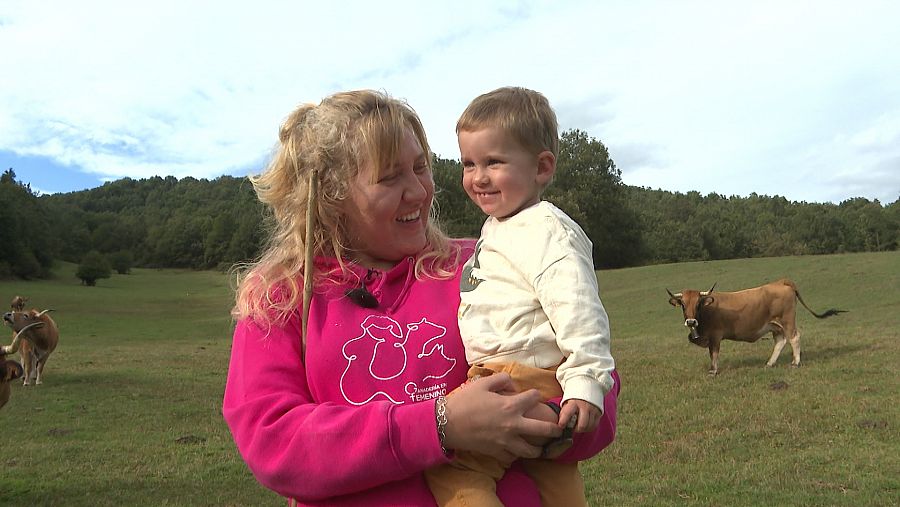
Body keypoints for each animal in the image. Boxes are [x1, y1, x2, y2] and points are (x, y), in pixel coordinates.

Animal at [664, 280, 848, 376]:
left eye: (698, 304)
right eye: (683, 304)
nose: (691, 322)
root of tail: (781, 282)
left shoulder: (715, 336)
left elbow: (713, 353)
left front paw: (713, 371)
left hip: (787, 321)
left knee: (794, 338)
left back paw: (795, 363)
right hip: (775, 326)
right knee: (780, 342)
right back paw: (770, 363)